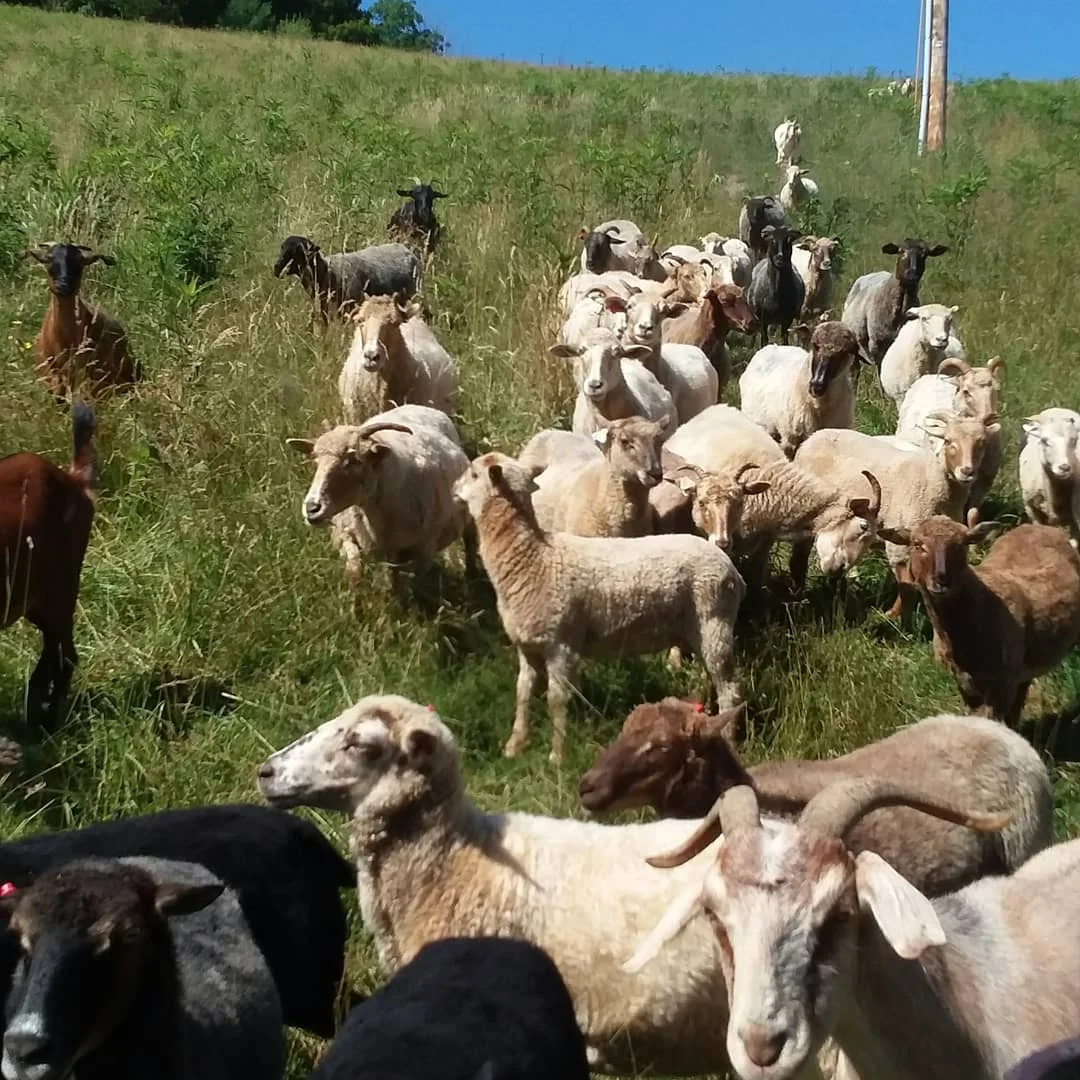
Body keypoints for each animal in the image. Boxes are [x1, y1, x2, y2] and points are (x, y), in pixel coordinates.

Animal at [286, 405, 470, 587]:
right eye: (316, 462)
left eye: (354, 461)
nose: (312, 508)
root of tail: (419, 406)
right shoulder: (347, 534)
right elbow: (355, 571)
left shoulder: (424, 550)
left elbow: (417, 583)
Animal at [453, 454, 744, 763]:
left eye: (473, 474)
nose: (453, 488)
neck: (534, 558)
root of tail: (731, 570)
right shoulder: (527, 646)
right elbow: (522, 692)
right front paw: (514, 746)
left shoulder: (562, 645)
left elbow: (557, 700)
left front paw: (557, 756)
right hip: (699, 631)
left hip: (714, 621)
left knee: (730, 690)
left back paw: (729, 741)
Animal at [739, 322, 859, 457]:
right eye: (815, 345)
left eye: (844, 352)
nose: (817, 385)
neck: (819, 407)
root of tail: (774, 346)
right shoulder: (789, 440)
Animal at [795, 418, 998, 612]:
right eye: (947, 441)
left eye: (982, 443)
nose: (967, 472)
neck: (934, 482)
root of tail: (817, 435)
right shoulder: (899, 547)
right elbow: (908, 588)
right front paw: (890, 616)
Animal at [877, 514, 1080, 725]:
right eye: (917, 544)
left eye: (962, 545)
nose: (941, 579)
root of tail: (1040, 527)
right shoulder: (964, 682)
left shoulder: (1002, 683)